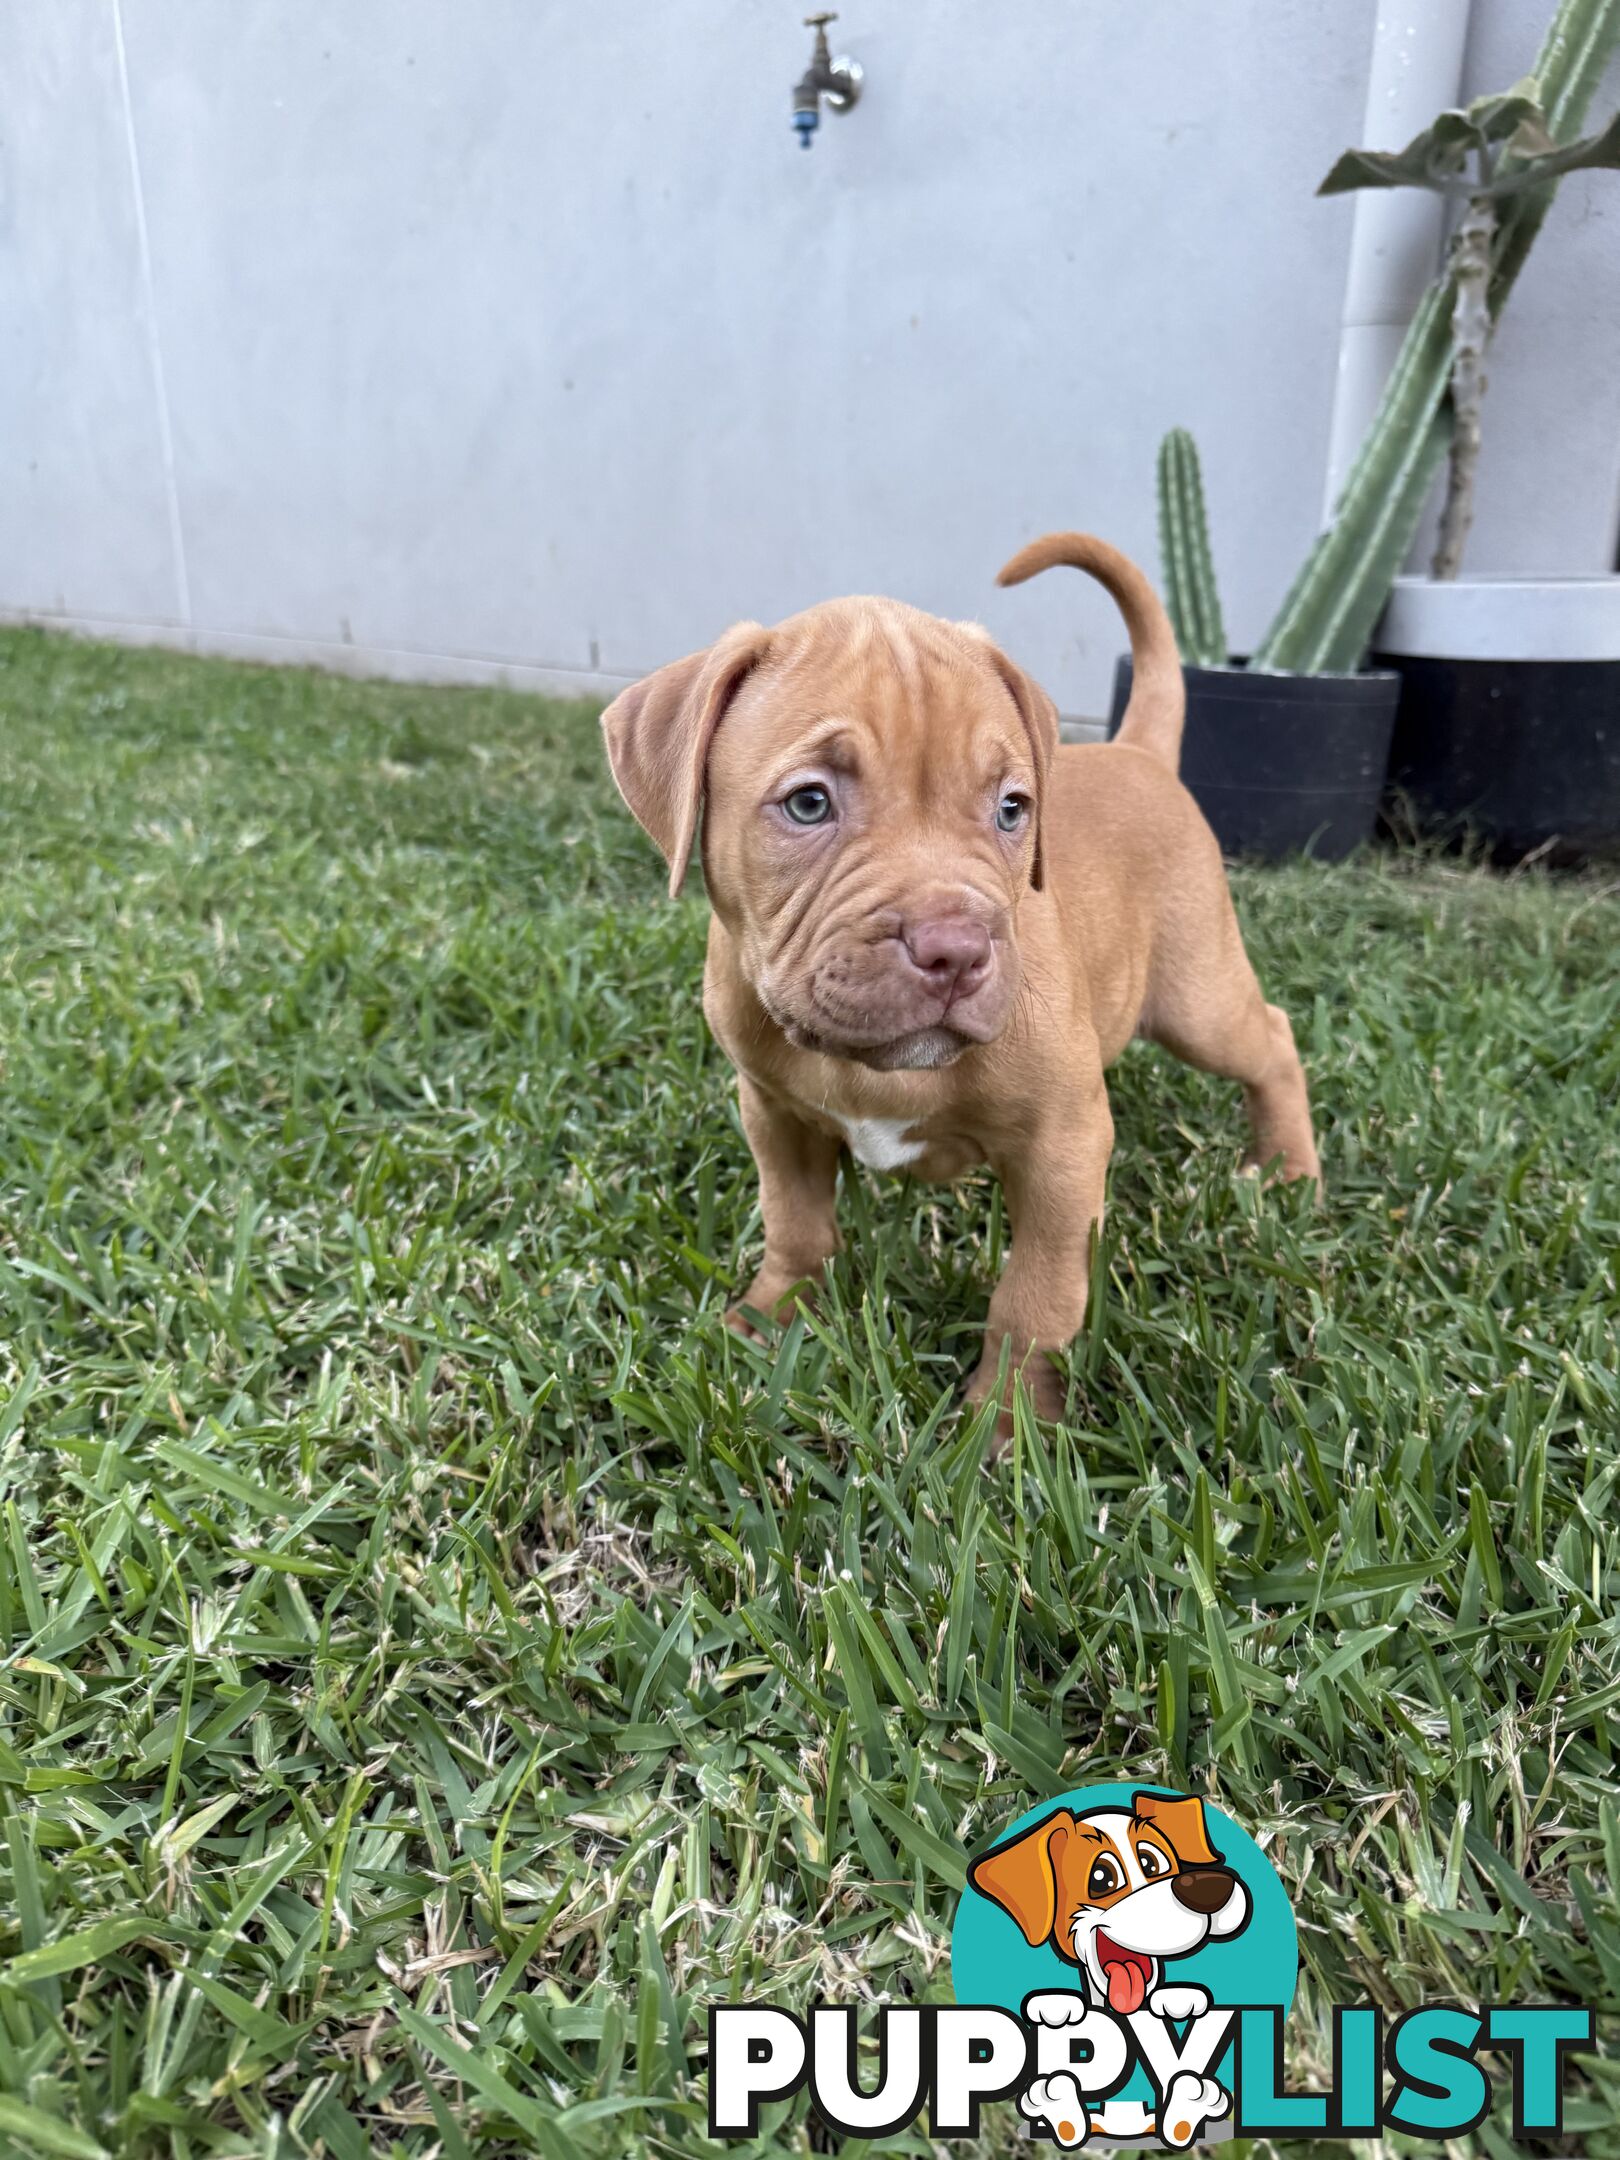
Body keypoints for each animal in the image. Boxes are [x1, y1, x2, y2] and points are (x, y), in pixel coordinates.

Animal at [604, 531, 1321, 1425]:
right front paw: (771, 1322)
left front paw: (1008, 1422)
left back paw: (1289, 1169)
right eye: (809, 804)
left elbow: (1037, 1295)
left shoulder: (1062, 1148)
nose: (956, 949)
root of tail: (1134, 751)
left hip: (1198, 998)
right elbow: (794, 1223)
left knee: (1272, 1038)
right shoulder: (773, 1112)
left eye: (1012, 809)